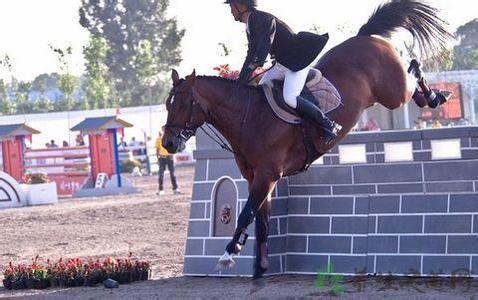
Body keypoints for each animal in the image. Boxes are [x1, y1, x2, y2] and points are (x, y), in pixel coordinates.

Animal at [163, 0, 452, 282]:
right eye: (167, 104)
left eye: (183, 105)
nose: (168, 144)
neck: (248, 116)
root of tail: (364, 36)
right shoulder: (256, 177)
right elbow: (262, 220)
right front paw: (261, 269)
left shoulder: (267, 175)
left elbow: (247, 213)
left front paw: (228, 253)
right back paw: (432, 98)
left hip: (393, 92)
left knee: (413, 70)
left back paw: (437, 95)